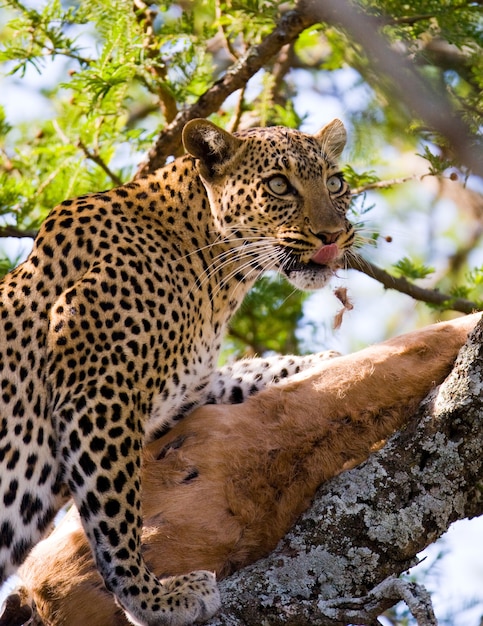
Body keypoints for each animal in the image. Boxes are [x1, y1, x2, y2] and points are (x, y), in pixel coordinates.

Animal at [0, 117, 356, 624]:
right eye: (279, 185)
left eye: (335, 182)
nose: (333, 234)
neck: (217, 277)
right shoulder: (98, 388)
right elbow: (116, 514)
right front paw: (151, 599)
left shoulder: (185, 389)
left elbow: (250, 373)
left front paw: (326, 361)